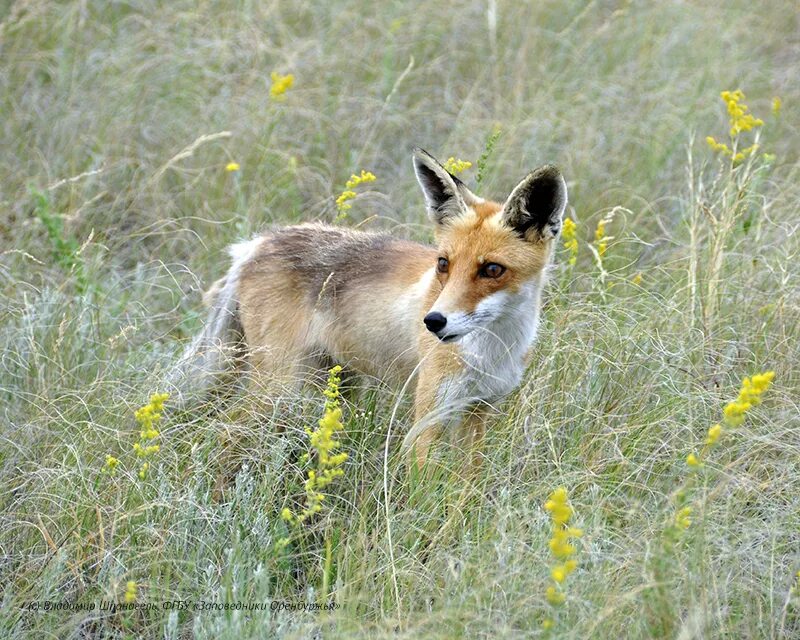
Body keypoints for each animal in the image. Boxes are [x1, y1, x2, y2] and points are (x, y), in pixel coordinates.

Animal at [171, 150, 564, 470]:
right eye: (443, 264)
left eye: (492, 270)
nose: (433, 322)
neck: (493, 349)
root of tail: (257, 242)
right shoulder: (428, 419)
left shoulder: (478, 413)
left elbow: (463, 497)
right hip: (280, 387)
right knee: (219, 434)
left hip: (335, 386)